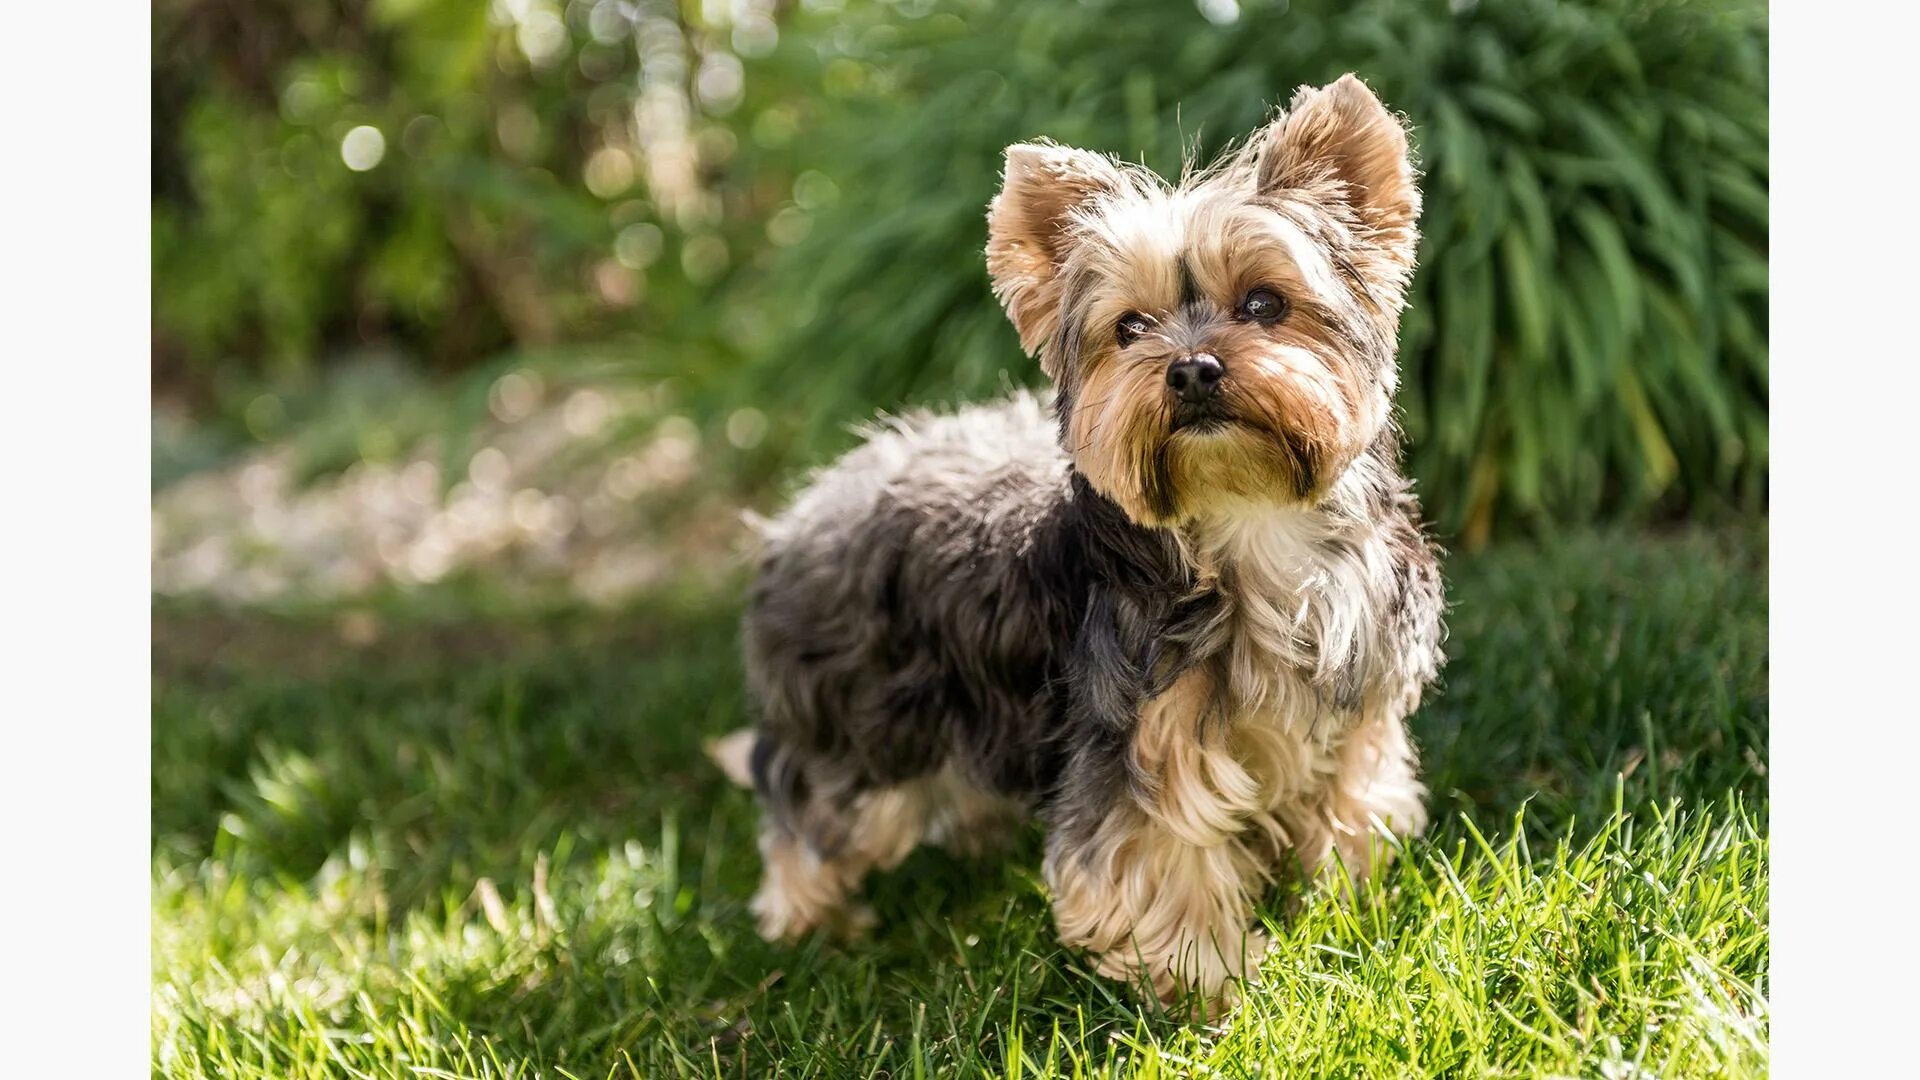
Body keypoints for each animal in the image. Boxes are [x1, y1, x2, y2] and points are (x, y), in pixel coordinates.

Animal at [718, 75, 1443, 1006]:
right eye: (1130, 327)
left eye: (1264, 304)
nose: (1192, 369)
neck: (1248, 520)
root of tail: (799, 513)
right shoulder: (1137, 739)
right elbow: (1159, 863)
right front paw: (1209, 988)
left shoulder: (1355, 709)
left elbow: (1350, 804)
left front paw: (1344, 905)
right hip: (860, 720)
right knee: (807, 806)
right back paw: (811, 925)